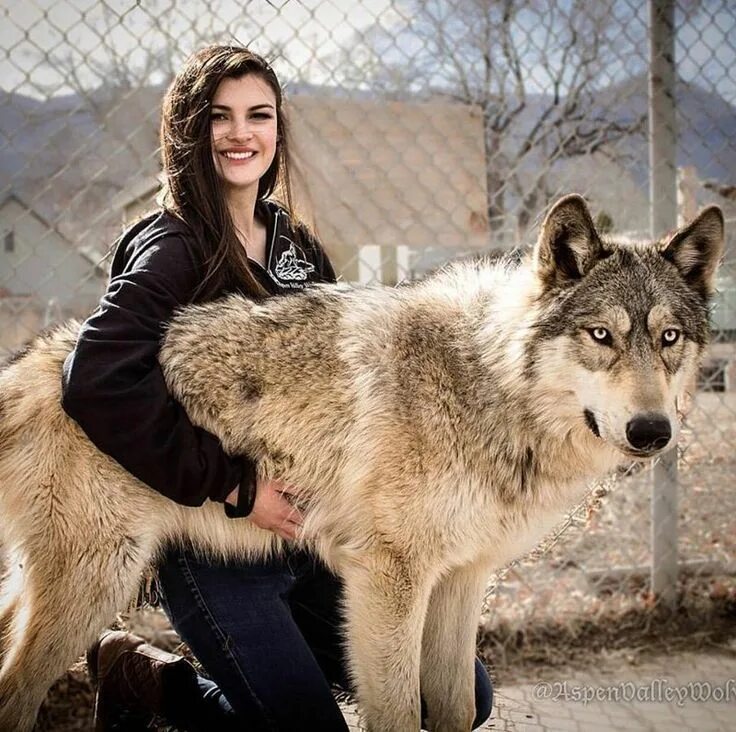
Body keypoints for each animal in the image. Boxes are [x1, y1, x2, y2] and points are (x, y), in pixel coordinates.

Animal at [0, 196, 724, 732]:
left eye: (669, 338)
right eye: (601, 335)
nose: (652, 431)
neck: (487, 388)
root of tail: (35, 364)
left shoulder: (462, 579)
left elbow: (456, 709)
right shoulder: (388, 580)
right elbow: (402, 716)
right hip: (96, 588)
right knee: (14, 693)